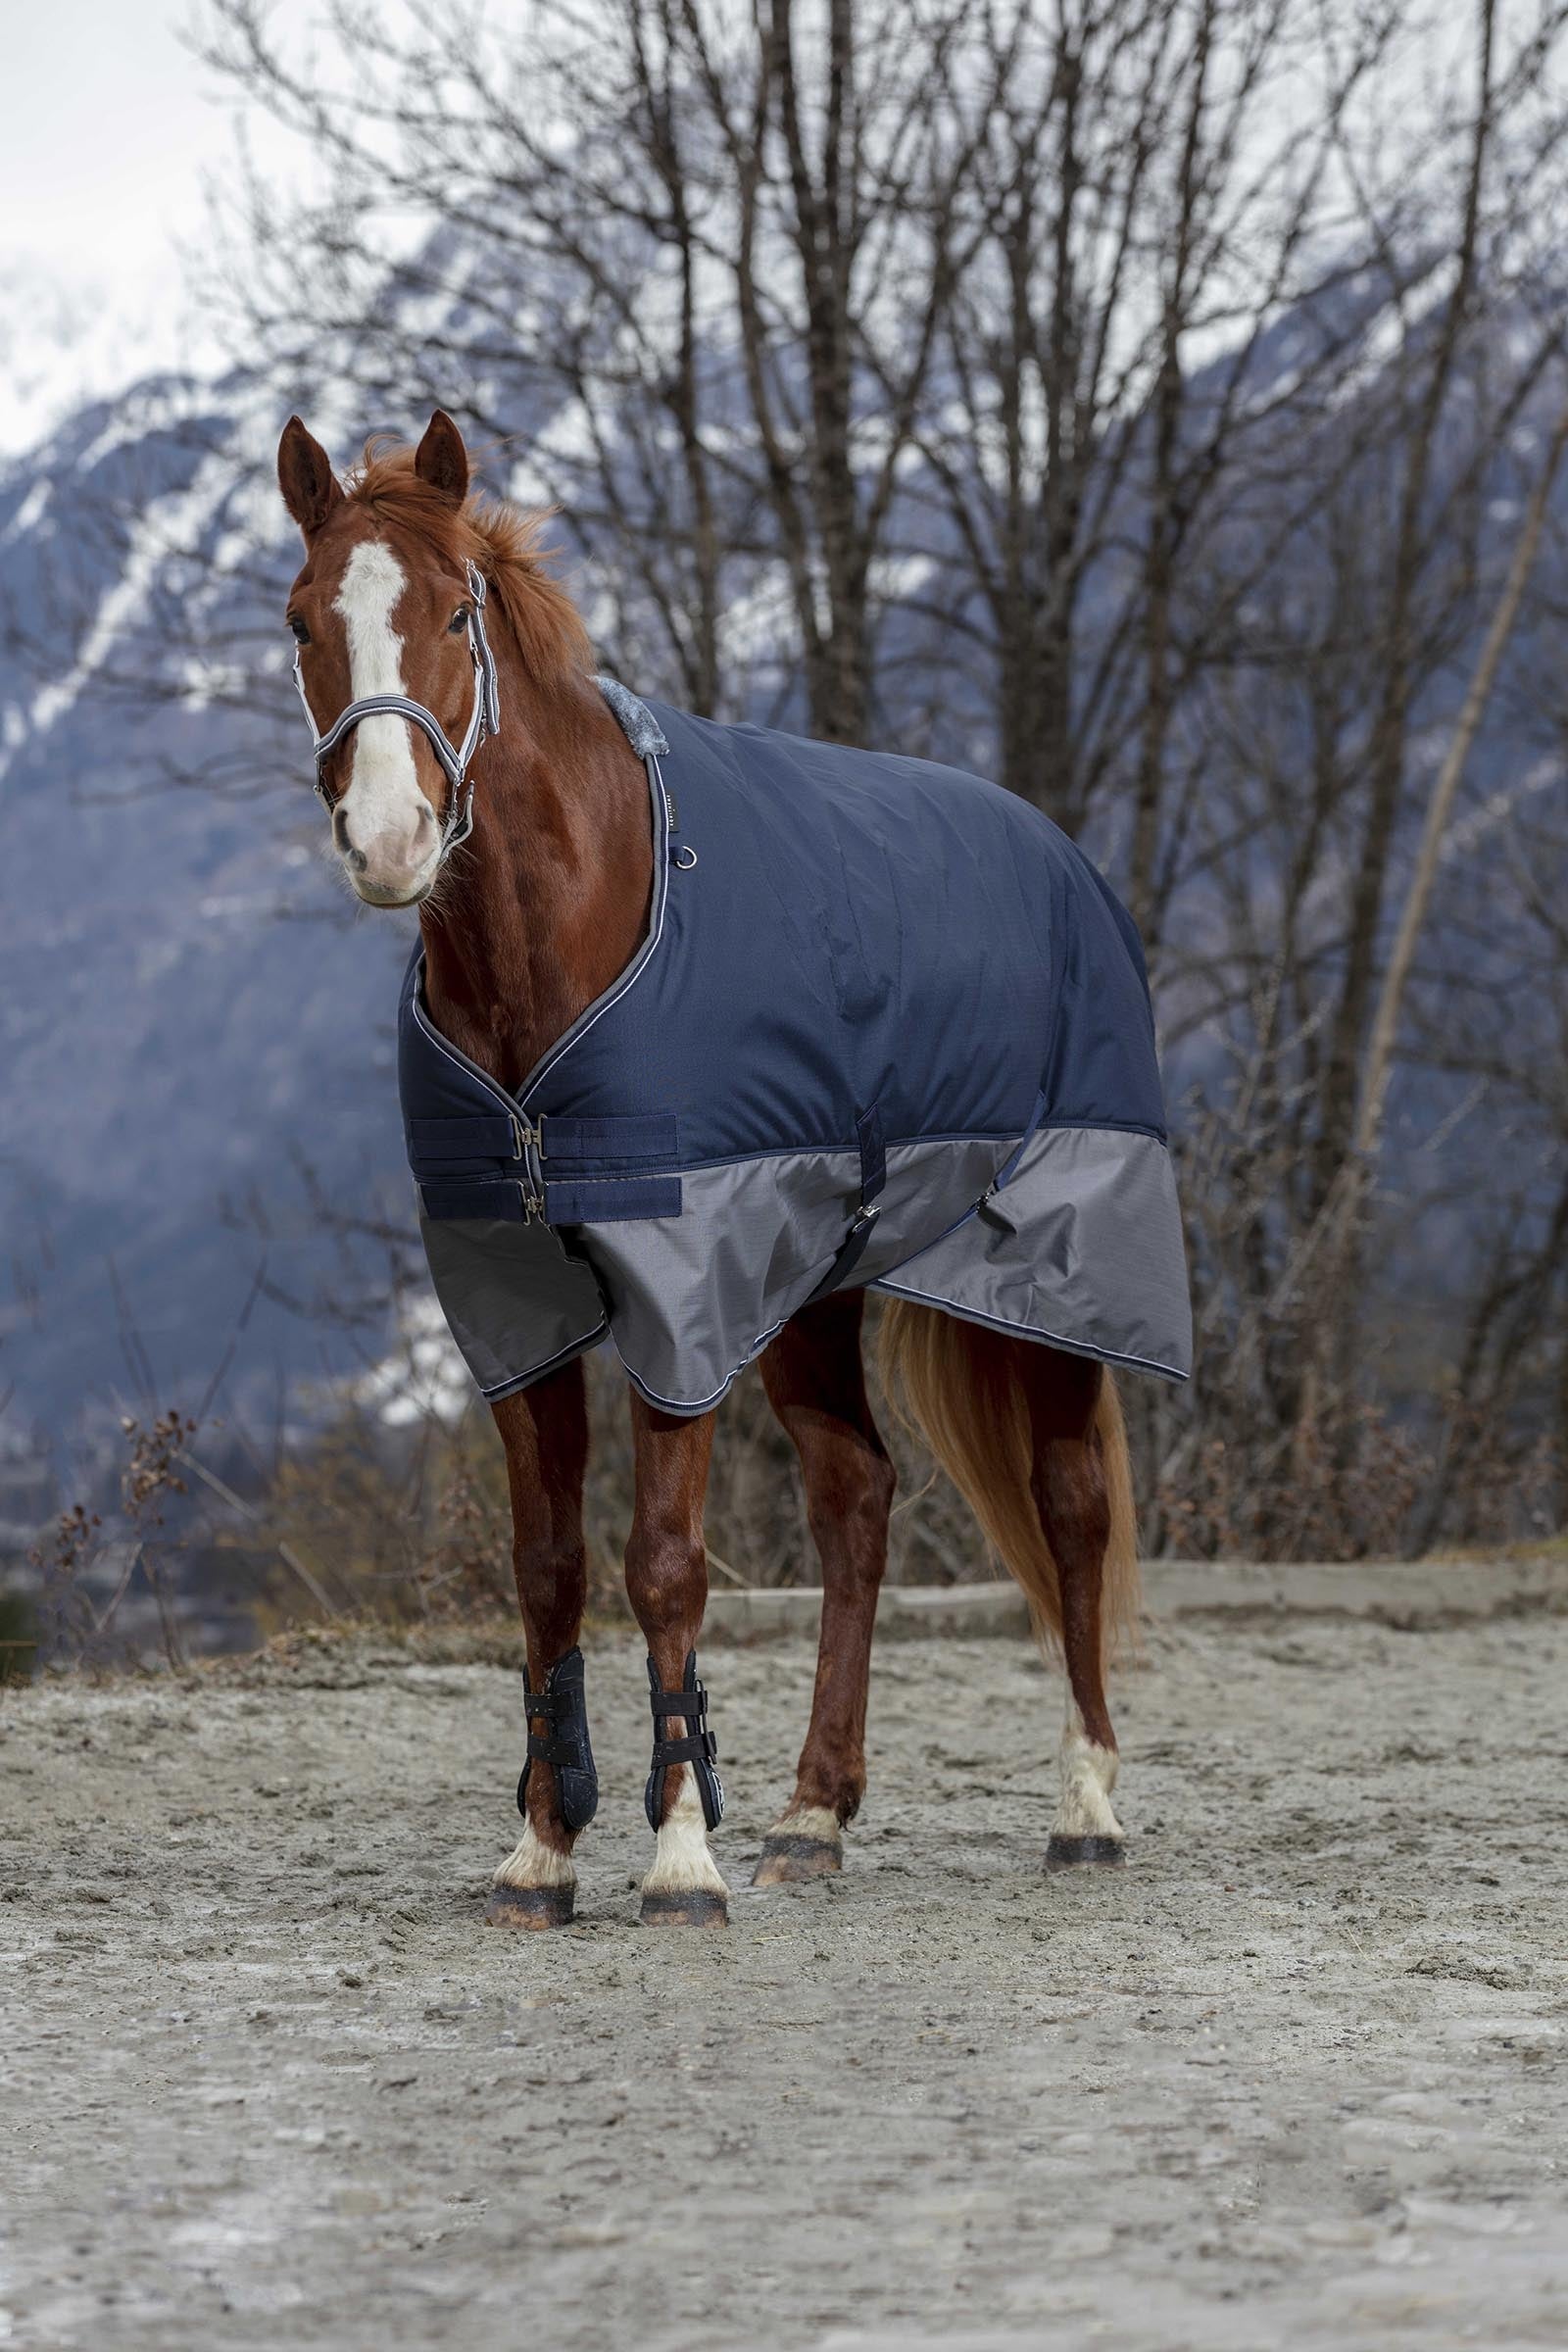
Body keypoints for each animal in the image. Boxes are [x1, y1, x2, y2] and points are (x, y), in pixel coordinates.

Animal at [276, 408, 1165, 1929]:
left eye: (453, 614)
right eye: (299, 625)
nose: (388, 841)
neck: (565, 943)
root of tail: (1062, 857)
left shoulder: (679, 1288)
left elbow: (663, 1566)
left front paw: (678, 1855)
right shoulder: (512, 1298)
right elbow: (548, 1572)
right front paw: (543, 1850)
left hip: (1052, 1279)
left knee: (1073, 1514)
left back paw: (1087, 1807)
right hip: (814, 1285)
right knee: (855, 1499)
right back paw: (813, 1814)